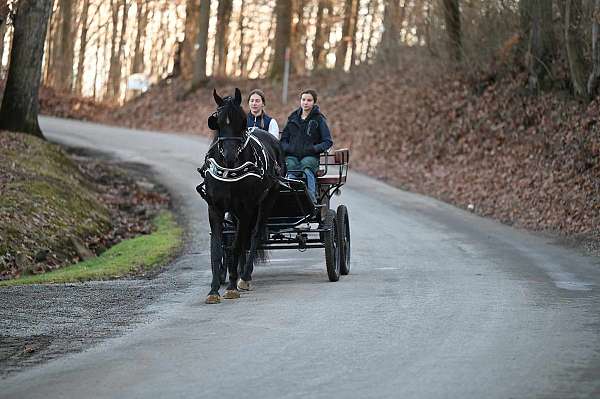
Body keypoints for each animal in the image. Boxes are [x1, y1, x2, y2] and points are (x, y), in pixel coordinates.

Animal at [198, 89, 284, 304]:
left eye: (242, 120)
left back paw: (244, 277)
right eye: (218, 121)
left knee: (253, 235)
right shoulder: (215, 208)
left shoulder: (246, 208)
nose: (229, 156)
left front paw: (231, 287)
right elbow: (217, 248)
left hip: (267, 201)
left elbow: (237, 246)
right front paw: (214, 290)